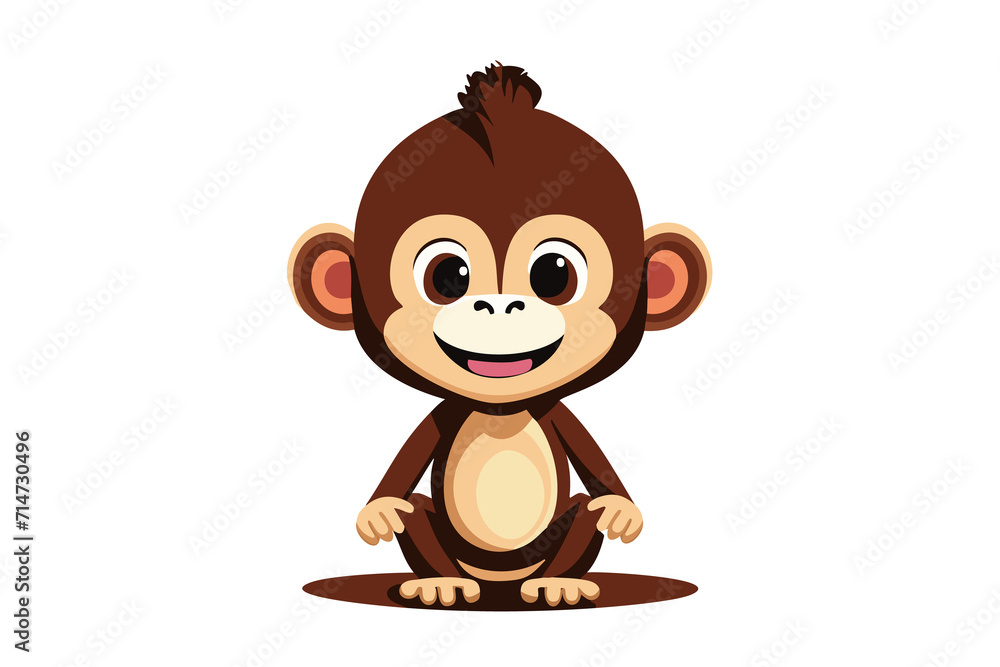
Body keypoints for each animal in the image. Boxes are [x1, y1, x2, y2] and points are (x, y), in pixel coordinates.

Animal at [289, 63, 711, 608]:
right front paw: (377, 514)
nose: (499, 304)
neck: (501, 409)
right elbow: (404, 474)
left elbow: (598, 476)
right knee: (415, 511)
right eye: (447, 276)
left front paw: (623, 511)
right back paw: (439, 583)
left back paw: (561, 584)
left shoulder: (555, 411)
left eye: (554, 274)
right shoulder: (444, 414)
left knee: (585, 512)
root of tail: (499, 585)